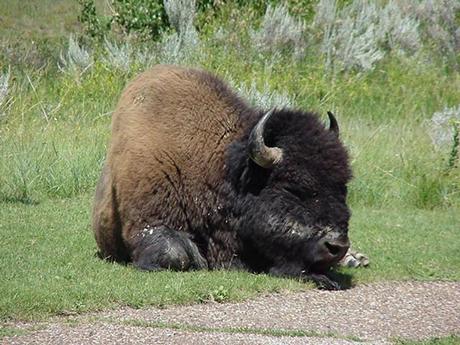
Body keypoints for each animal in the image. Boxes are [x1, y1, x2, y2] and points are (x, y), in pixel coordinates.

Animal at [92, 63, 360, 288]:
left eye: (343, 187)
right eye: (292, 188)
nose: (336, 246)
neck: (224, 169)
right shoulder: (148, 223)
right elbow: (175, 254)